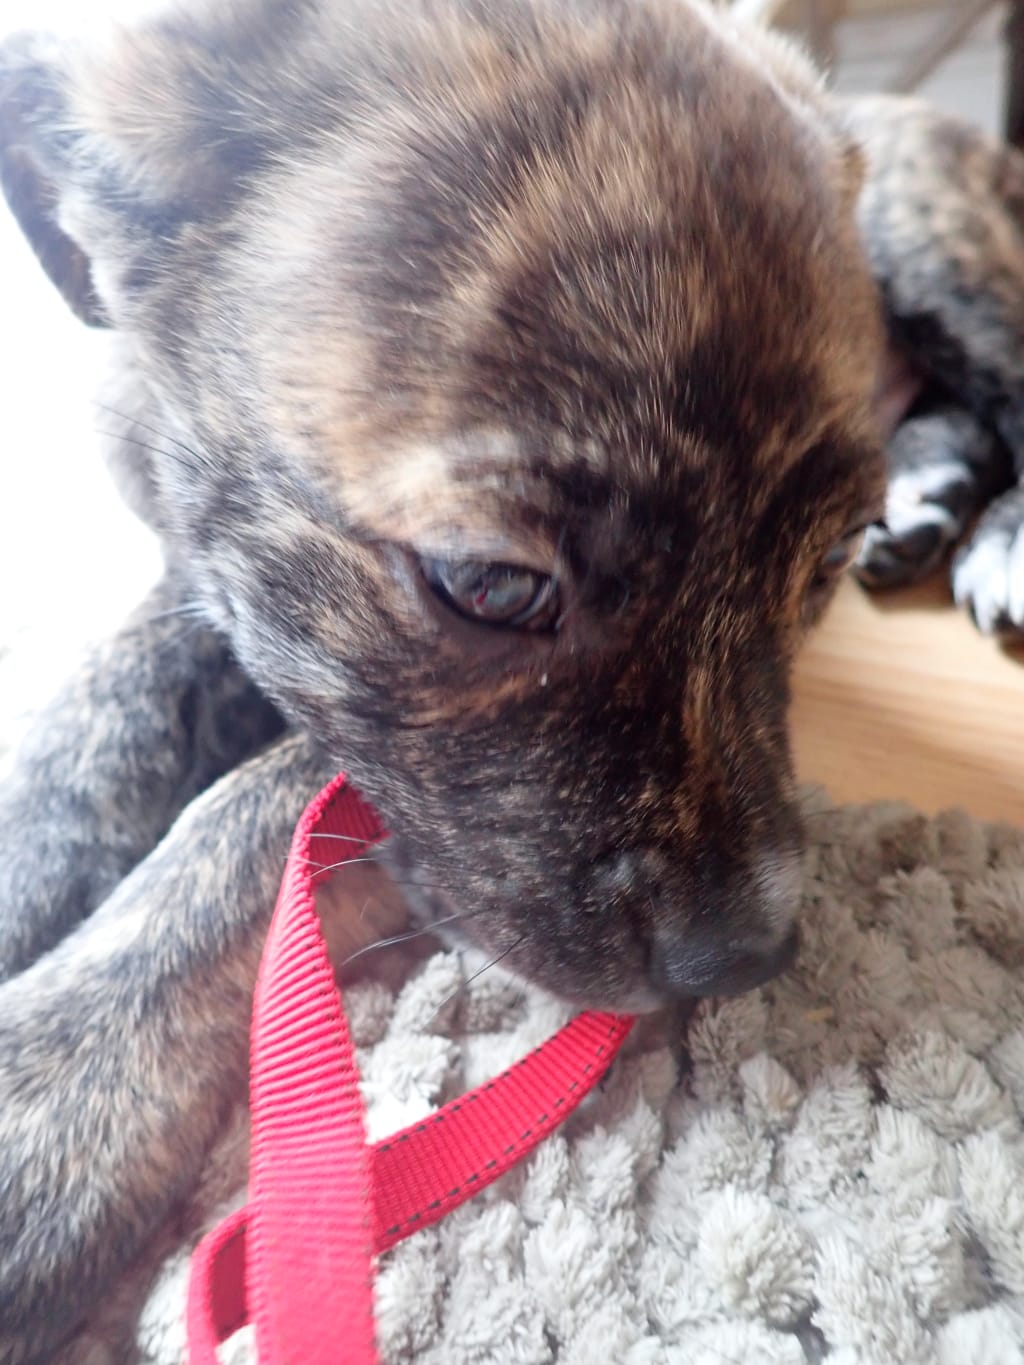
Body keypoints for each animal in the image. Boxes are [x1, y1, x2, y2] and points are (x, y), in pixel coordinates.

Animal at [0, 0, 1017, 1357]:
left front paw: (48, 1089)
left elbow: (248, 815)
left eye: (819, 570)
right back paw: (934, 488)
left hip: (929, 241)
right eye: (489, 585)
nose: (743, 955)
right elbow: (102, 705)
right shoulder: (219, 558)